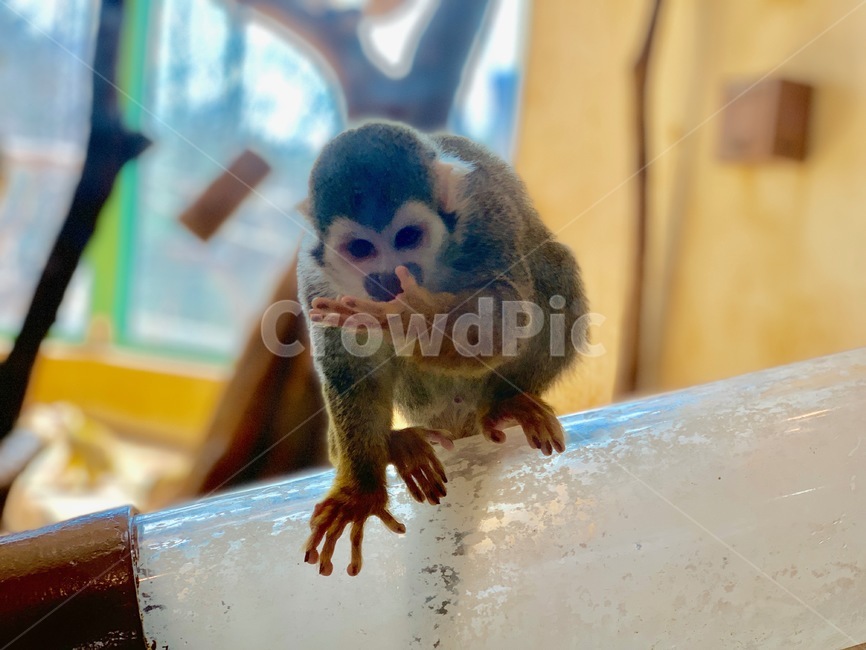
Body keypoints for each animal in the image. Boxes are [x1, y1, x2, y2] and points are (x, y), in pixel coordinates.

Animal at [296, 121, 588, 576]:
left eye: (408, 237)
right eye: (360, 249)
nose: (387, 280)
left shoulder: (486, 216)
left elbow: (504, 319)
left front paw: (408, 317)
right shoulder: (316, 278)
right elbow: (351, 371)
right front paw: (360, 490)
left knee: (554, 272)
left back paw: (505, 402)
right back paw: (396, 442)